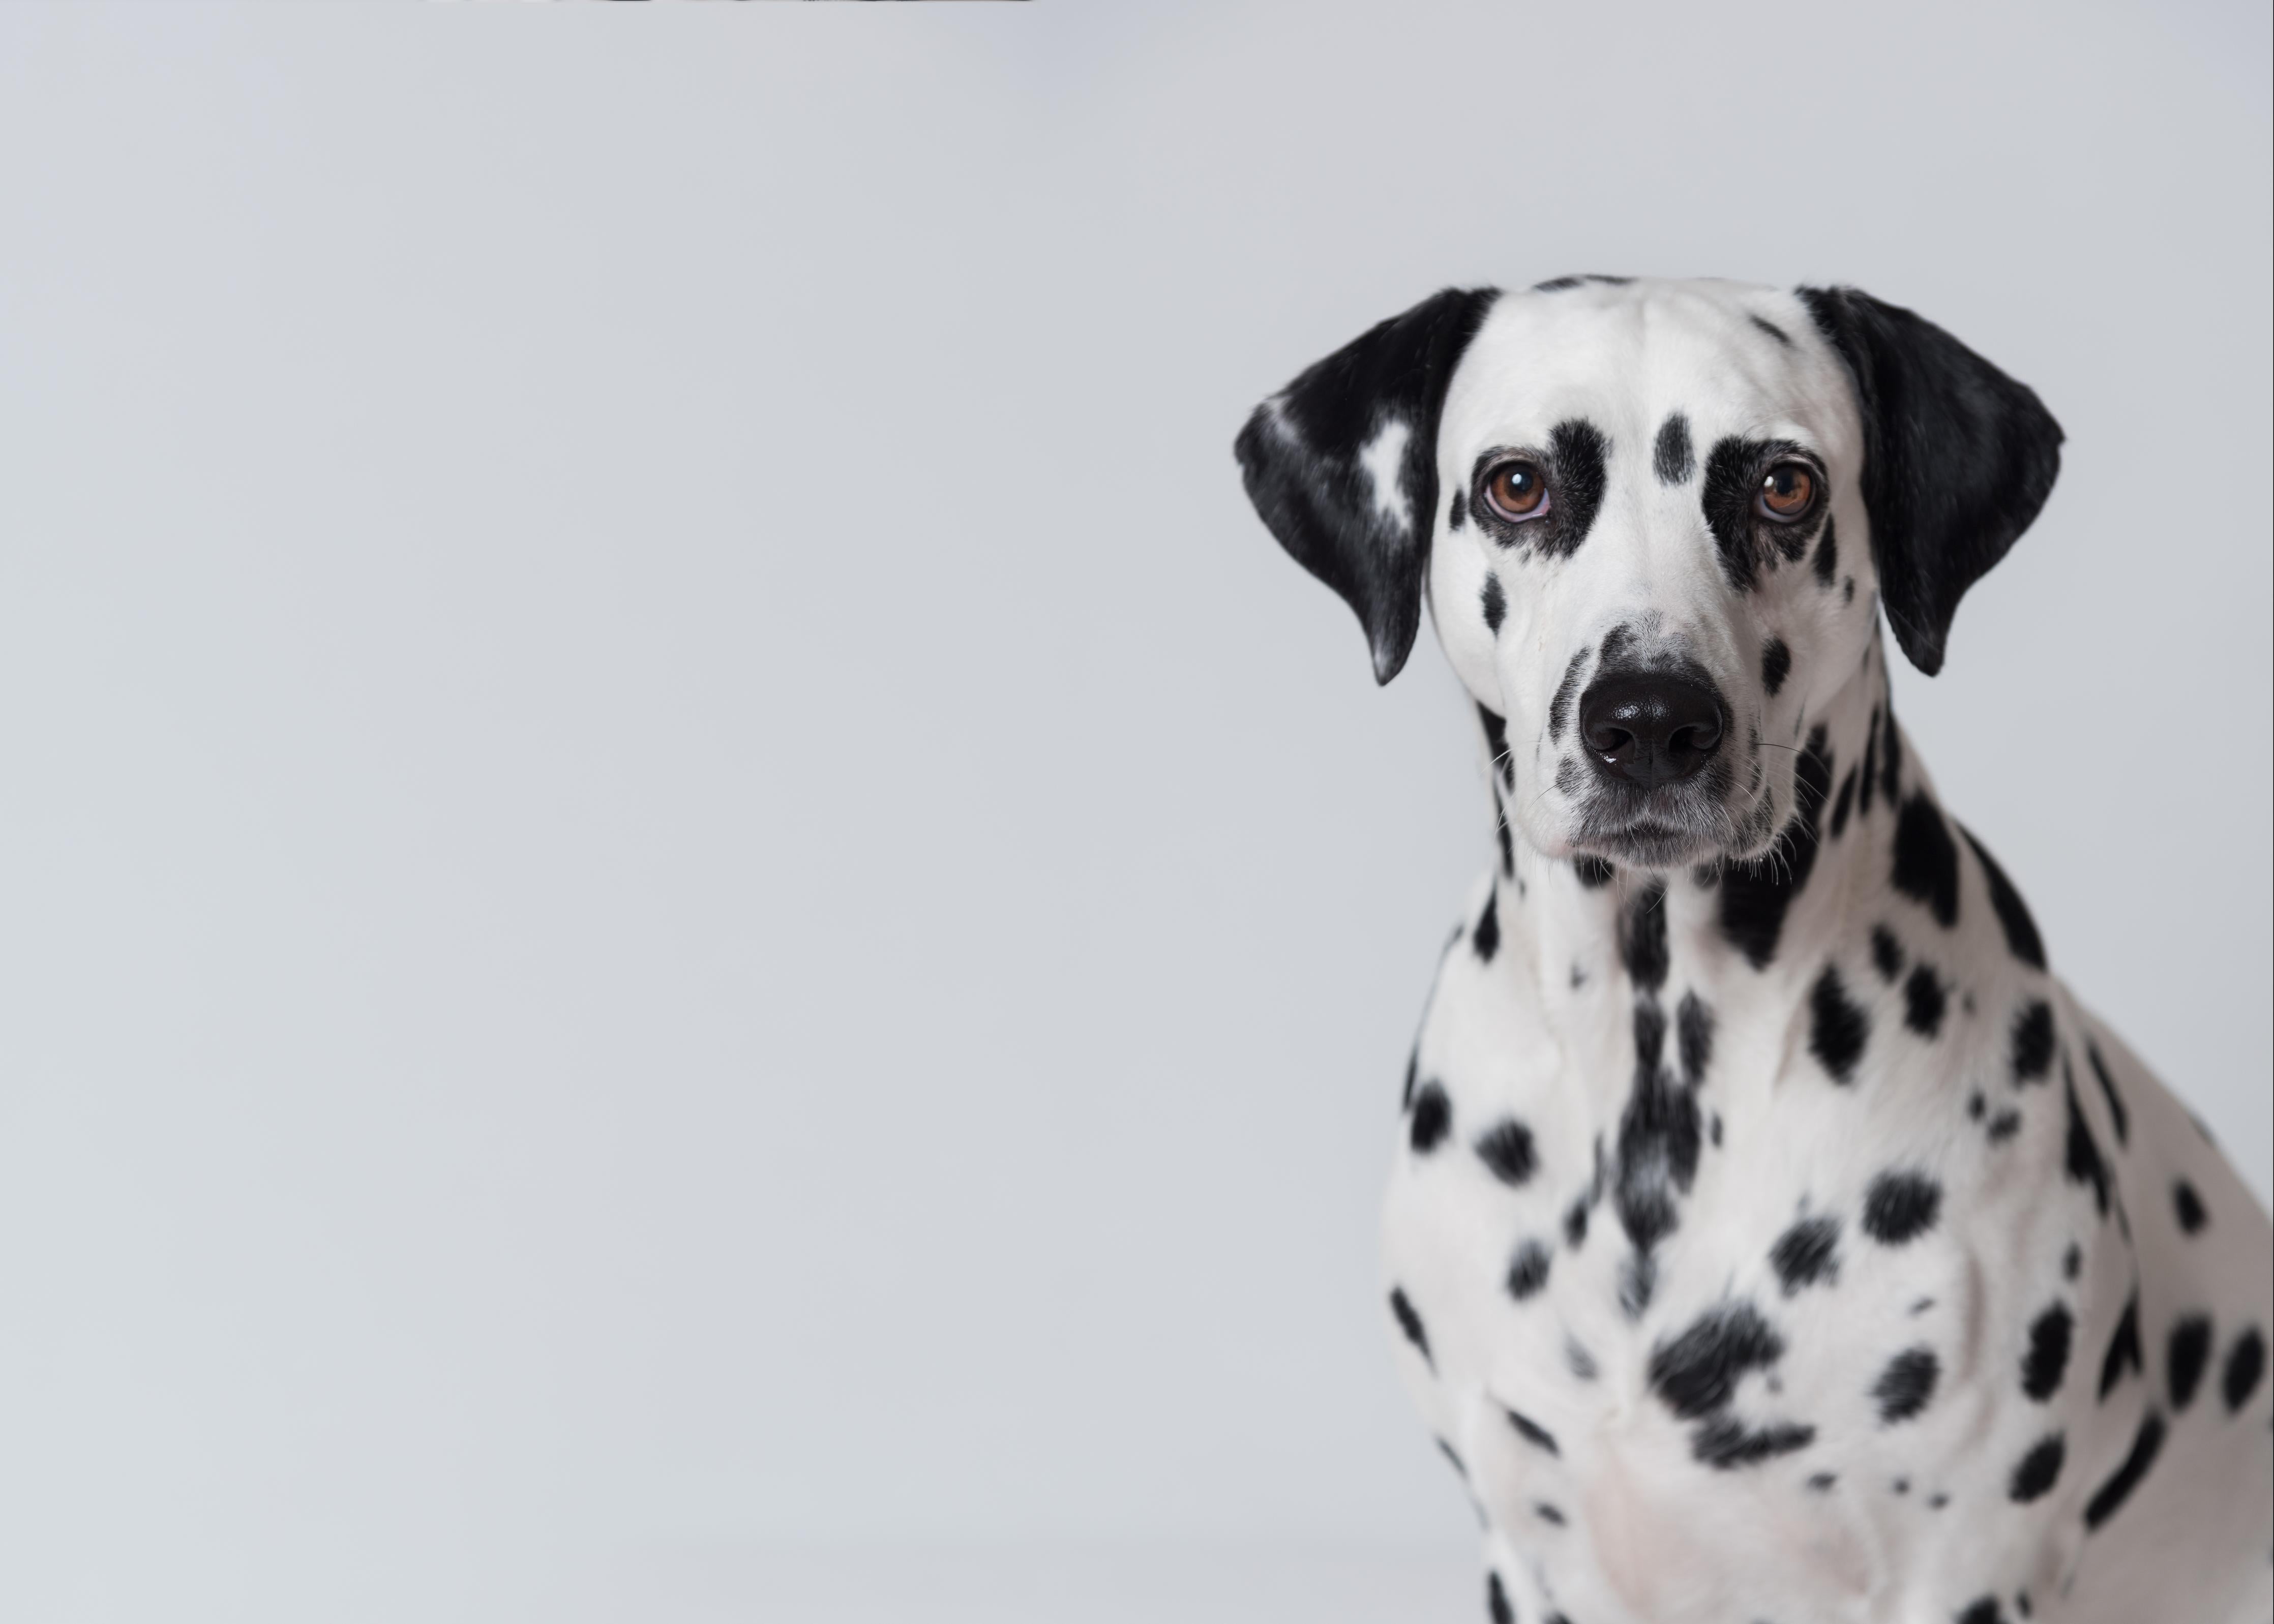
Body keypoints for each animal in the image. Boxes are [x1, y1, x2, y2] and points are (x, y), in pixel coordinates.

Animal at [1246, 282, 2274, 1619]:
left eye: (1784, 485)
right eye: (1516, 485)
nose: (1646, 720)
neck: (1660, 1079)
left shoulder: (1964, 1566)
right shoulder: (1530, 1554)